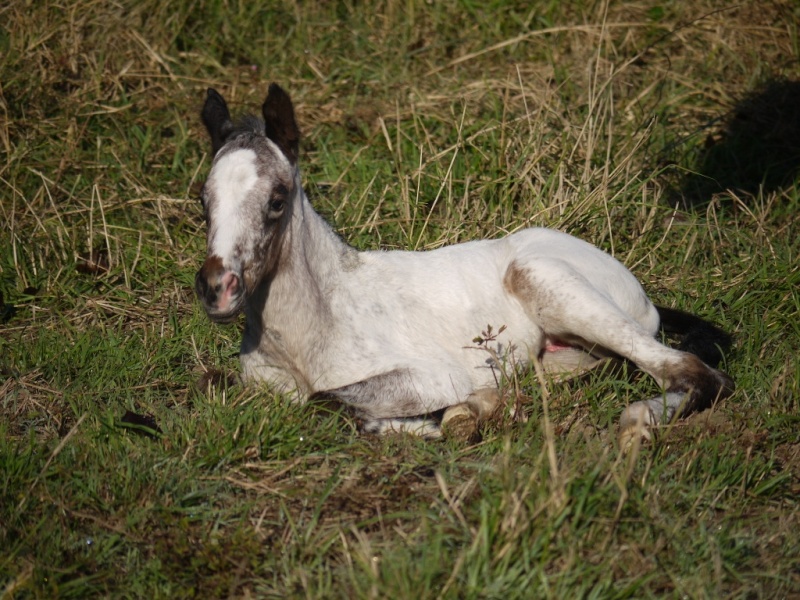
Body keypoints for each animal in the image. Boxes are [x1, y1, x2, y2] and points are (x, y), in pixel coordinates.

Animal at [197, 82, 736, 442]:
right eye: (204, 199)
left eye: (277, 199)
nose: (217, 288)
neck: (311, 332)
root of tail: (641, 293)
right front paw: (470, 412)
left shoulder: (433, 376)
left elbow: (325, 401)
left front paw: (453, 417)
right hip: (560, 356)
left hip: (547, 280)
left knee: (695, 372)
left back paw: (636, 422)